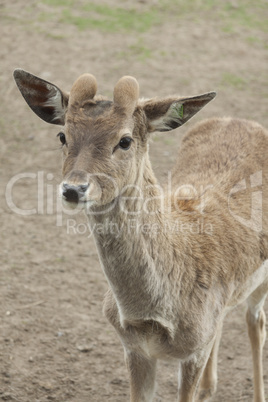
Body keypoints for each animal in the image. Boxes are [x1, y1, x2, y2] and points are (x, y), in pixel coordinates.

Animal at [13, 70, 266, 402]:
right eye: (62, 136)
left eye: (125, 140)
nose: (73, 189)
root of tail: (239, 120)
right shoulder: (134, 348)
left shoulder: (192, 353)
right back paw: (209, 387)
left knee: (256, 322)